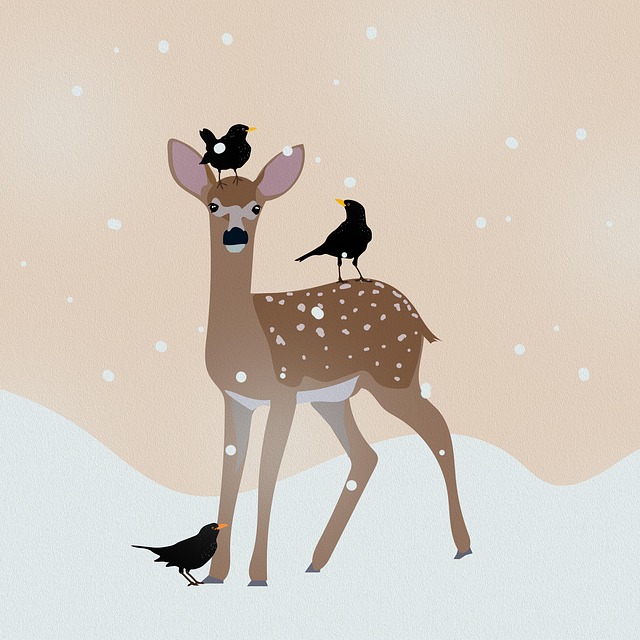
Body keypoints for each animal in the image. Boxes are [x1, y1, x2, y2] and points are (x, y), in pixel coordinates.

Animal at [167, 138, 472, 586]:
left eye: (257, 207)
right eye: (213, 204)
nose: (234, 234)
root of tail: (417, 314)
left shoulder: (284, 390)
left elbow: (267, 472)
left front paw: (258, 574)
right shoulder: (235, 398)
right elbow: (231, 470)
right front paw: (217, 576)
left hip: (394, 376)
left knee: (438, 431)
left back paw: (463, 545)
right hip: (334, 398)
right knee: (366, 455)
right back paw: (315, 560)